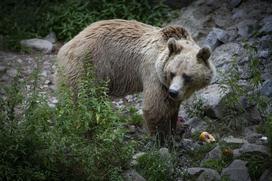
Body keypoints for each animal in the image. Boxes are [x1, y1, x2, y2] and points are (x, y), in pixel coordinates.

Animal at [56, 19, 216, 139]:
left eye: (187, 76)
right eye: (172, 73)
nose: (173, 92)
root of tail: (65, 46)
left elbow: (172, 108)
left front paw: (176, 128)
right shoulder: (154, 74)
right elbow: (155, 108)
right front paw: (162, 139)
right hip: (88, 66)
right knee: (80, 100)